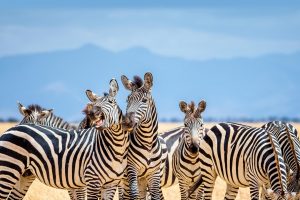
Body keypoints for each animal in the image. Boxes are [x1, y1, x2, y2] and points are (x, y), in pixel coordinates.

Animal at [0, 79, 129, 199]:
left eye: (111, 102)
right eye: (95, 103)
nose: (93, 113)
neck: (116, 146)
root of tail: (9, 130)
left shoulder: (109, 184)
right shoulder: (87, 182)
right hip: (8, 171)